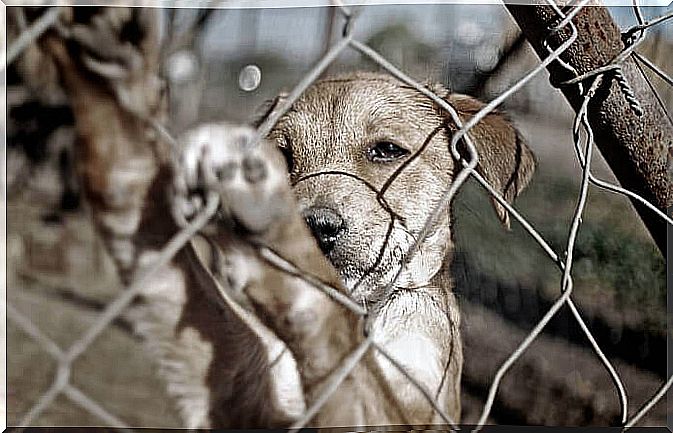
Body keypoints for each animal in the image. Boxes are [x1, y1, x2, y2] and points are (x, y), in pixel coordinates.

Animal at [30, 8, 536, 430]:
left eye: (387, 151)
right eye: (282, 156)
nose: (317, 228)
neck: (368, 314)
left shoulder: (413, 413)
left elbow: (328, 320)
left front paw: (286, 249)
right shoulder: (236, 384)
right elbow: (166, 250)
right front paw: (109, 80)